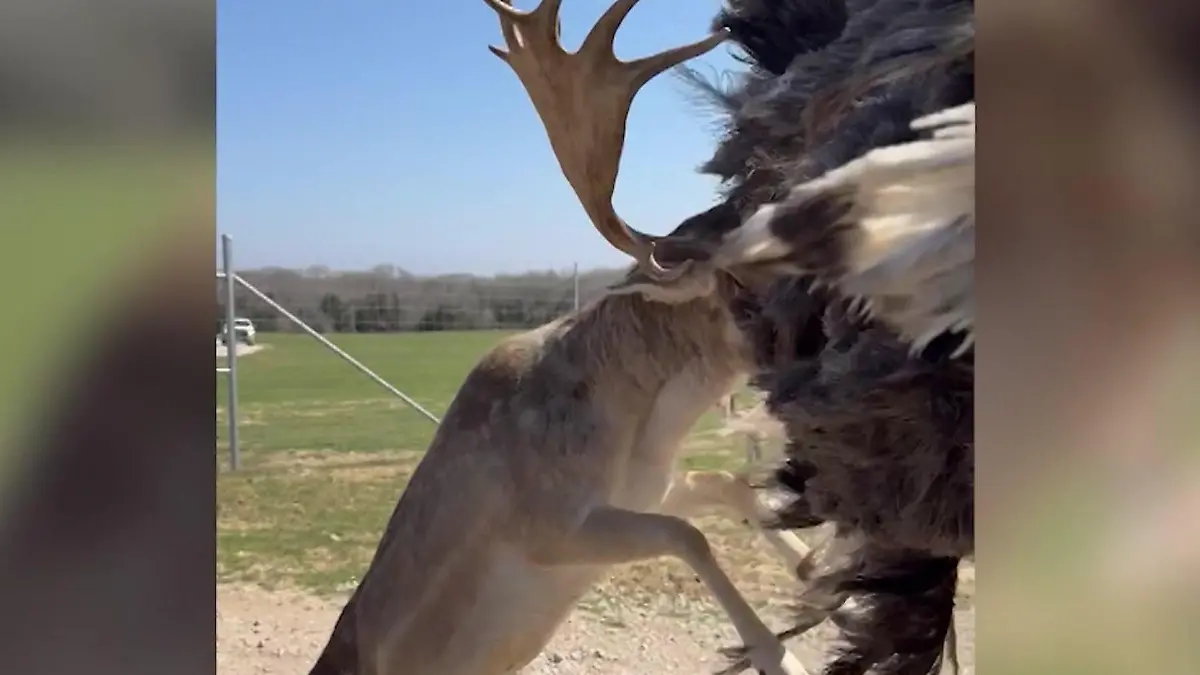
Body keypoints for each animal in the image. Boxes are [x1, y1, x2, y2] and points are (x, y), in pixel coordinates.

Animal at [306, 1, 817, 674]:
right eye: (743, 270)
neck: (640, 430)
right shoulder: (548, 525)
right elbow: (690, 536)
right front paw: (779, 653)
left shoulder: (652, 488)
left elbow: (726, 486)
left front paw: (815, 569)